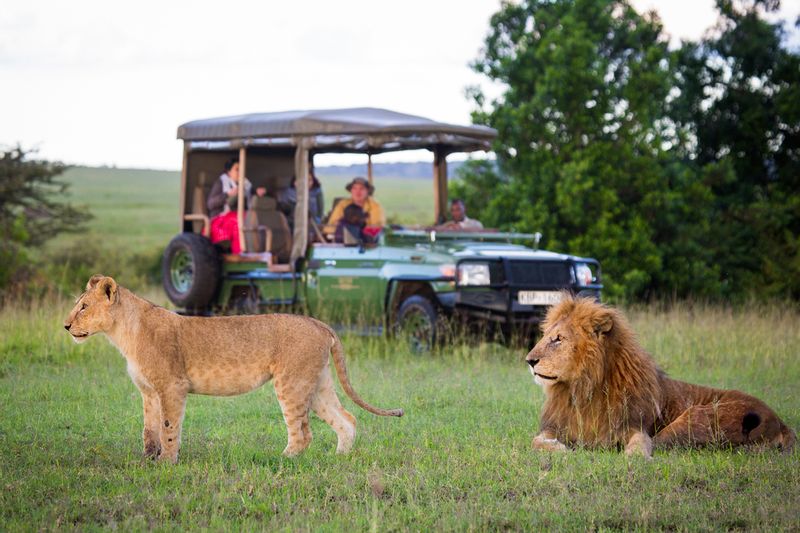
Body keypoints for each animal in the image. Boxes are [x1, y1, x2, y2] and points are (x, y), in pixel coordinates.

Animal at [62, 274, 404, 462]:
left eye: (84, 306)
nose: (65, 326)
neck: (122, 333)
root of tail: (317, 322)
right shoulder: (148, 392)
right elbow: (149, 429)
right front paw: (147, 460)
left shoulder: (172, 386)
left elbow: (169, 428)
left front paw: (167, 463)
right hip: (316, 382)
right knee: (346, 419)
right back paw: (339, 459)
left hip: (290, 383)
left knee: (303, 433)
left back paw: (279, 460)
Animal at [524, 296, 792, 458]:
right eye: (545, 335)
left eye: (558, 339)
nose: (529, 361)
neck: (583, 390)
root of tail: (781, 423)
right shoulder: (556, 425)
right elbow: (535, 441)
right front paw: (559, 449)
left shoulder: (631, 426)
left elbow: (640, 442)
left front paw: (634, 457)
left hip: (695, 418)